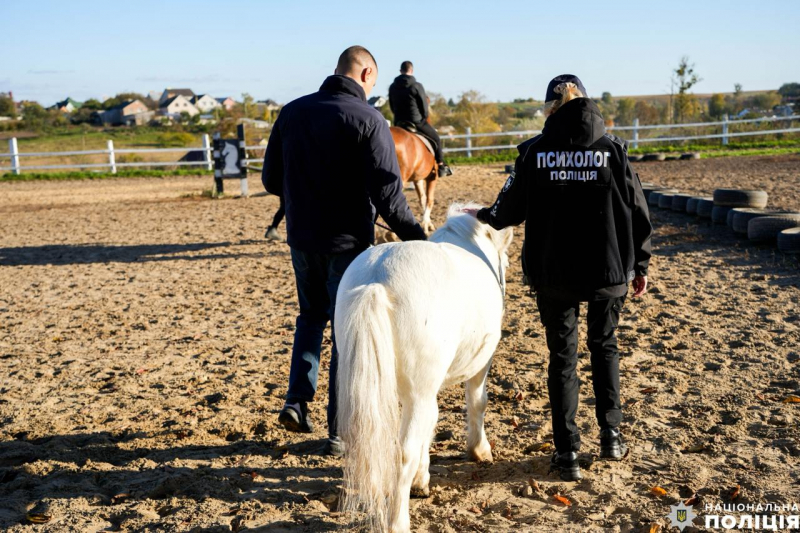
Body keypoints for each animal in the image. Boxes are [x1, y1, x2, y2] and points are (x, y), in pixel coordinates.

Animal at [332, 204, 512, 532]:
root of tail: (377, 279)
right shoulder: (481, 362)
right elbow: (477, 402)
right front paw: (479, 450)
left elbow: (431, 423)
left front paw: (421, 480)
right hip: (419, 391)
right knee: (402, 451)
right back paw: (397, 521)